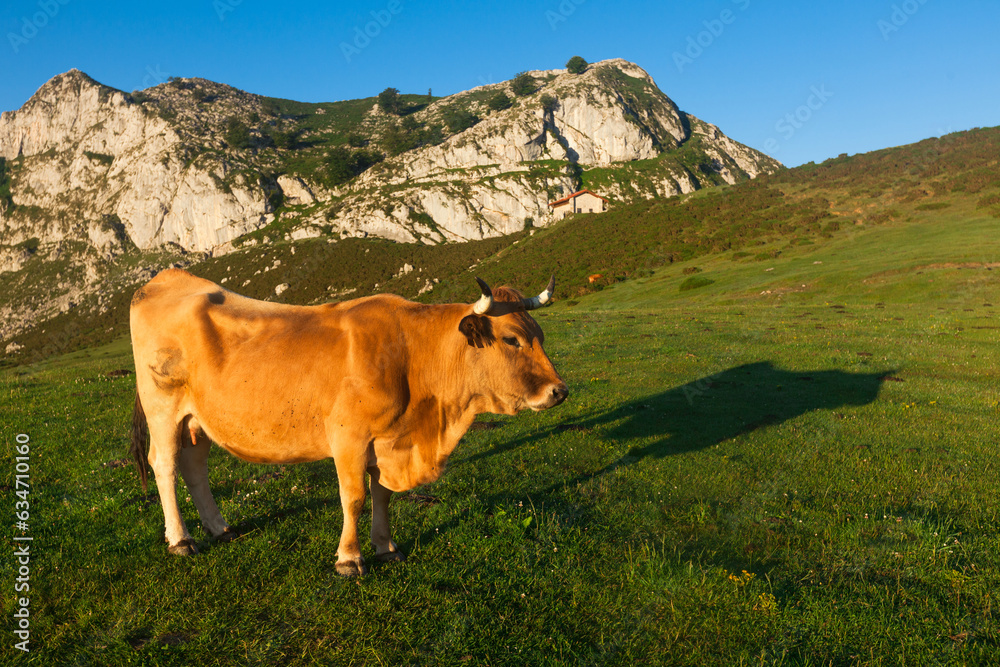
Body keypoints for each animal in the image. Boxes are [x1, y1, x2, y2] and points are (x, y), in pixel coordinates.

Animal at [129, 269, 568, 576]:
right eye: (511, 339)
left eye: (541, 334)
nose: (559, 391)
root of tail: (166, 278)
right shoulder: (349, 437)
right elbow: (354, 497)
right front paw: (349, 558)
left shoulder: (387, 439)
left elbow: (382, 495)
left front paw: (386, 547)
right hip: (162, 408)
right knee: (165, 465)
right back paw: (180, 540)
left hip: (197, 417)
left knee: (194, 468)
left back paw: (219, 528)